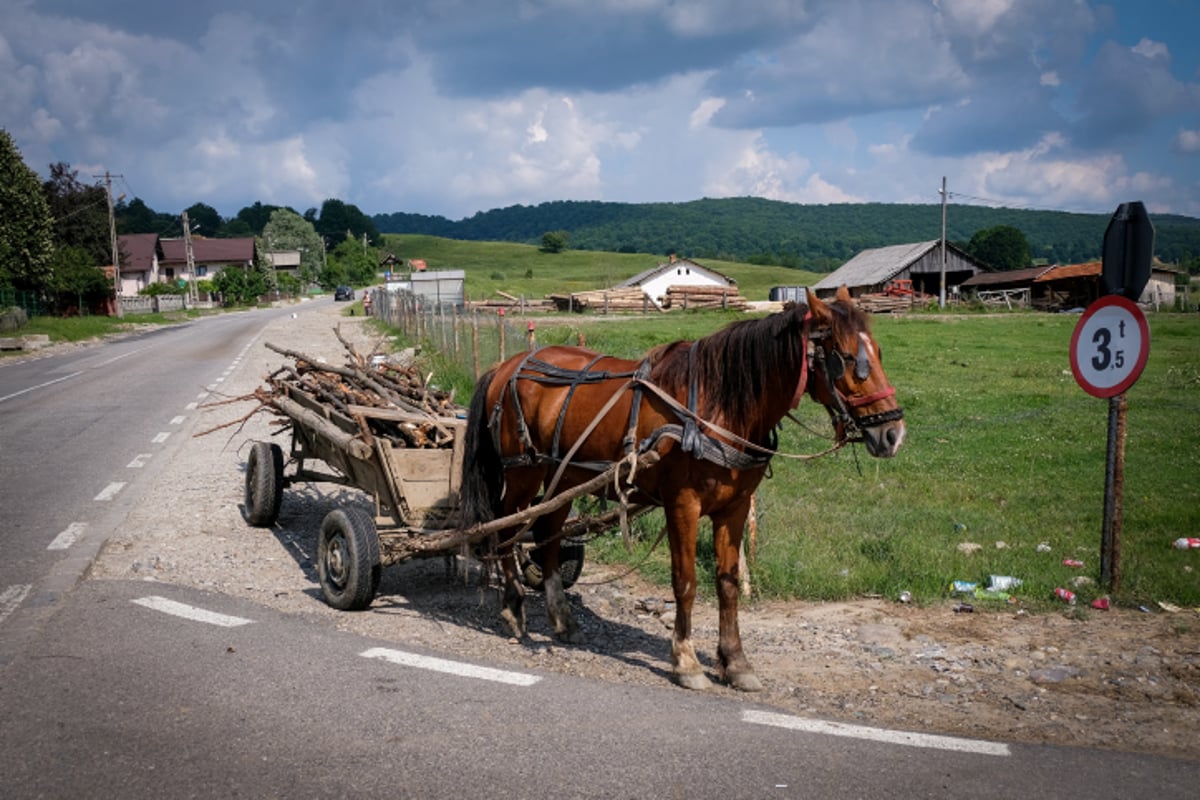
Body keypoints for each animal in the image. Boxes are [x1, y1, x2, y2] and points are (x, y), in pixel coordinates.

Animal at [453, 289, 902, 695]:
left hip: (565, 476)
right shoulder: (682, 505)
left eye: (879, 352)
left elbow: (727, 583)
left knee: (548, 534)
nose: (893, 433)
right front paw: (686, 663)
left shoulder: (734, 507)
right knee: (505, 529)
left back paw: (562, 618)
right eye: (846, 358)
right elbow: (685, 582)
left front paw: (735, 663)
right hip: (524, 473)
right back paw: (513, 608)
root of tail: (506, 365)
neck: (716, 407)